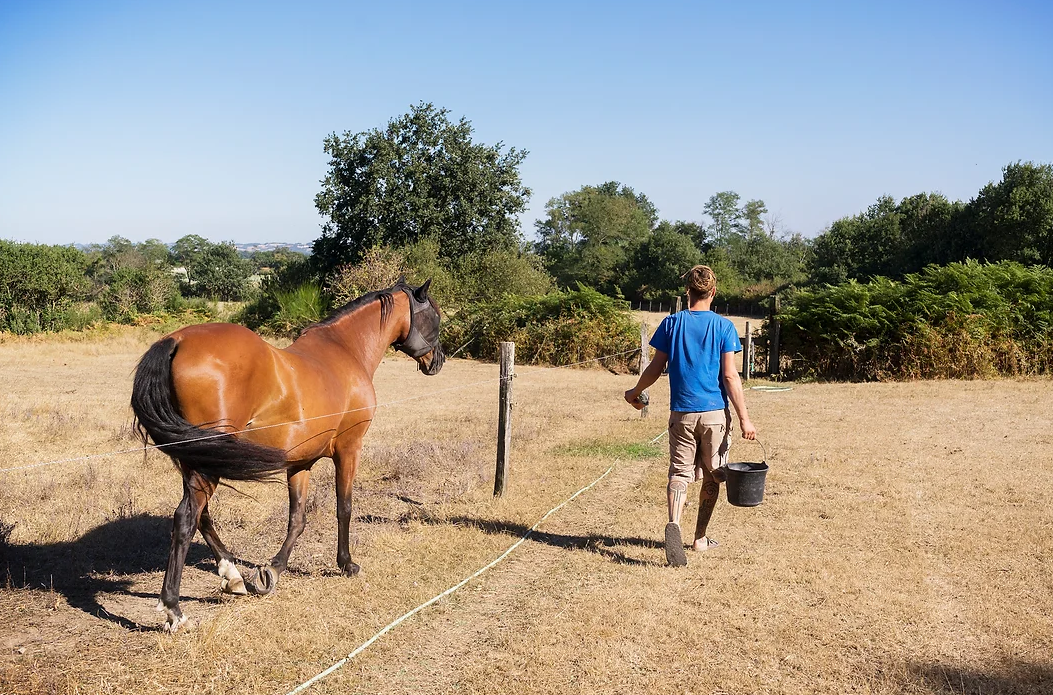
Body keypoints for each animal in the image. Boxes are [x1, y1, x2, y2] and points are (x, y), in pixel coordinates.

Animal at [130, 279, 444, 633]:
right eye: (434, 316)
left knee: (202, 514)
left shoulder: (300, 464)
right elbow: (344, 507)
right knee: (186, 517)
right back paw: (175, 610)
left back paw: (233, 576)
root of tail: (176, 340)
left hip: (199, 459)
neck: (345, 351)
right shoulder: (349, 449)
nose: (438, 361)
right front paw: (346, 564)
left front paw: (272, 571)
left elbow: (297, 518)